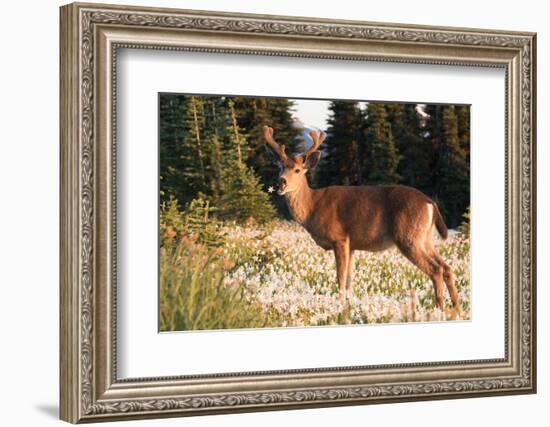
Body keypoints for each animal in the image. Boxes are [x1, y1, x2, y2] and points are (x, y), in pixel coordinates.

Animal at [266, 124, 460, 310]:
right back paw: (456, 306)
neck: (312, 206)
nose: (281, 183)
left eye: (298, 170)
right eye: (280, 167)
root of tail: (430, 203)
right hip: (425, 238)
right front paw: (349, 304)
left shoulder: (340, 238)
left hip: (408, 237)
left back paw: (439, 308)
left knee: (435, 269)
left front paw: (340, 305)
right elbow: (349, 279)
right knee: (447, 267)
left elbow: (340, 277)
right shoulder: (352, 245)